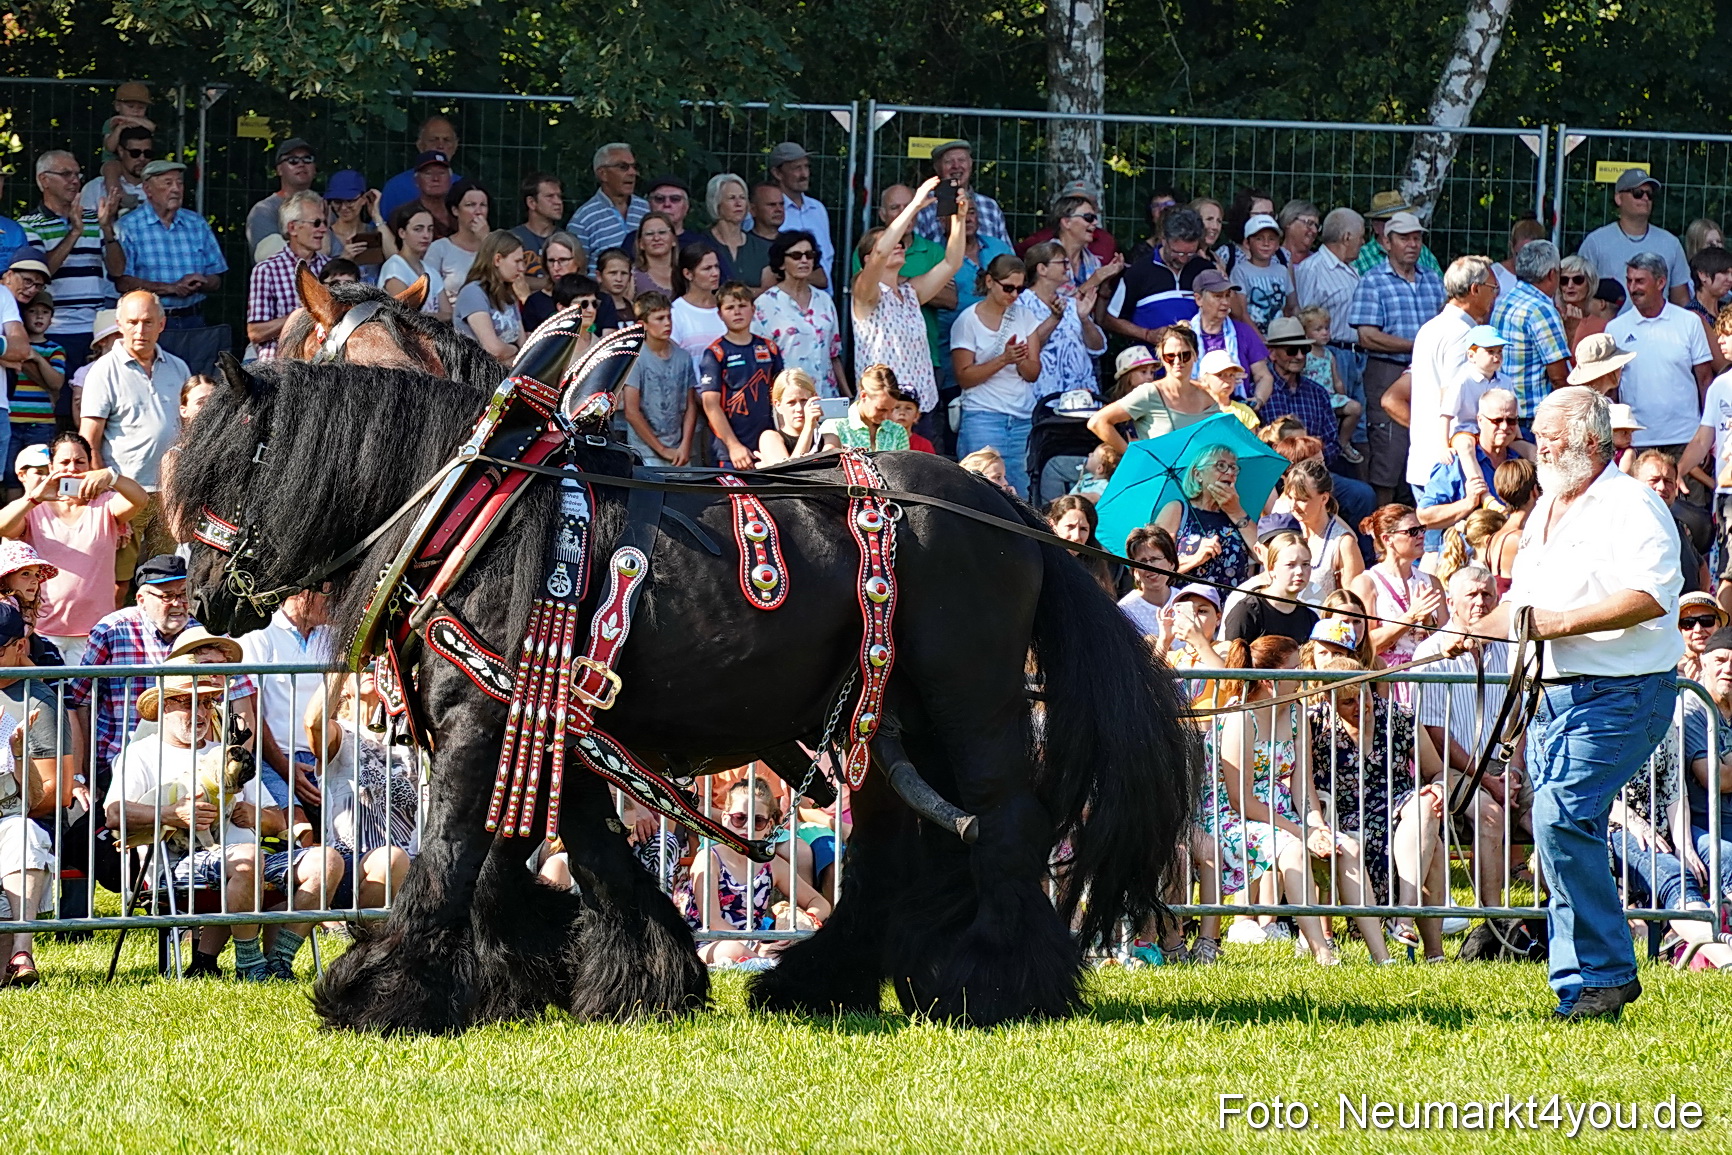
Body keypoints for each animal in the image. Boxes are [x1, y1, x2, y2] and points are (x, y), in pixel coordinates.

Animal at [165, 283, 1197, 1034]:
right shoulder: (556, 721)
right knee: (899, 845)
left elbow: (457, 851)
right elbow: (575, 852)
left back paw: (999, 981)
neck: (487, 503)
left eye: (233, 465)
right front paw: (618, 975)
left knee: (1003, 824)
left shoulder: (484, 720)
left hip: (968, 698)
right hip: (884, 716)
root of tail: (1015, 514)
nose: (206, 593)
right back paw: (829, 979)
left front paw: (383, 990)